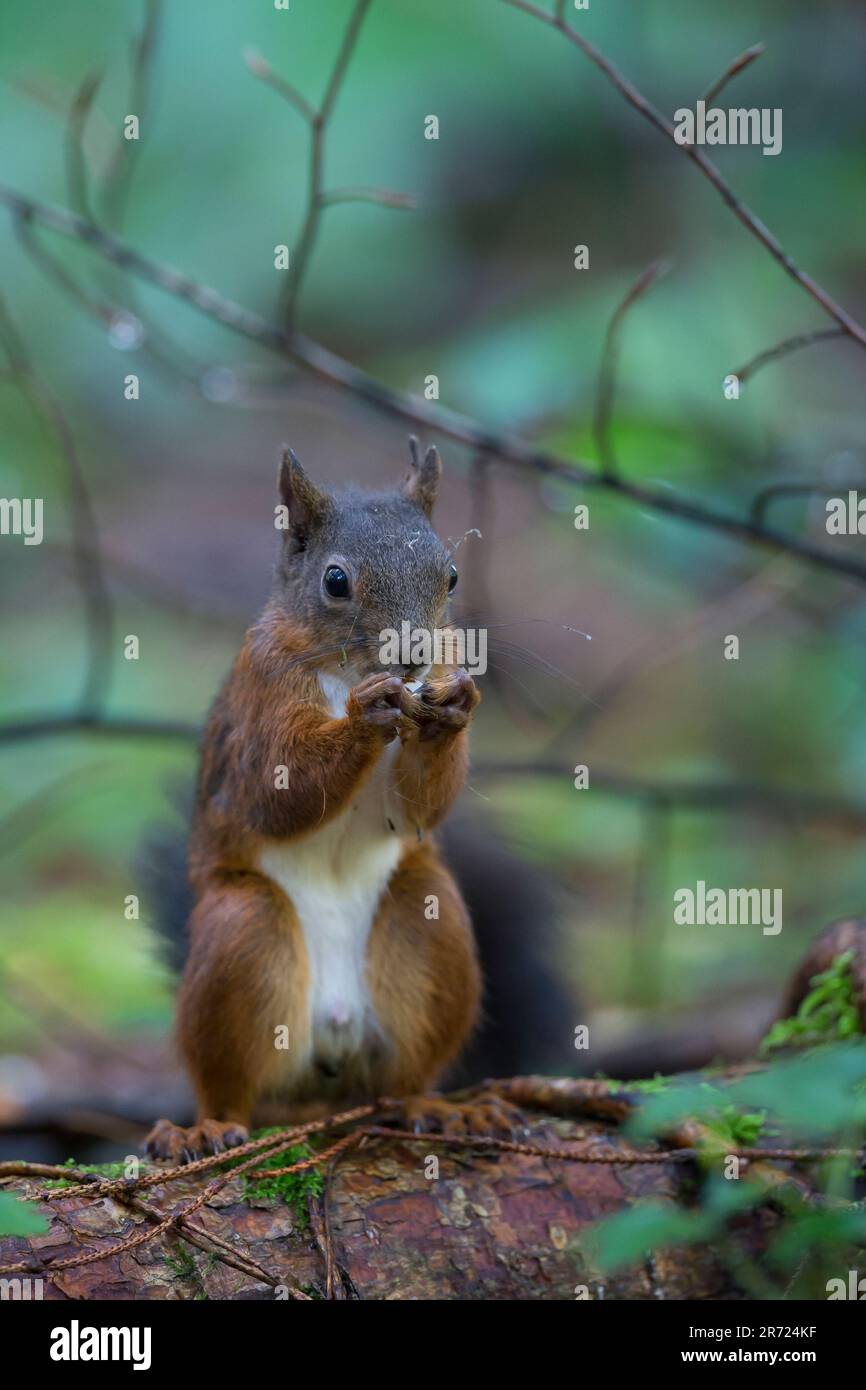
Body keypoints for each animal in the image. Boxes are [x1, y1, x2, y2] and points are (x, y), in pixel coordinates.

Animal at [145, 439, 483, 1156]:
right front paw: (365, 716)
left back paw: (437, 1106)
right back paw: (208, 1126)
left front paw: (454, 711)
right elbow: (281, 789)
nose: (414, 655)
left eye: (451, 577)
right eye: (335, 582)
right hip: (243, 933)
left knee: (406, 1076)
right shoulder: (262, 698)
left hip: (428, 920)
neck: (345, 669)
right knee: (231, 1086)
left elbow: (416, 809)